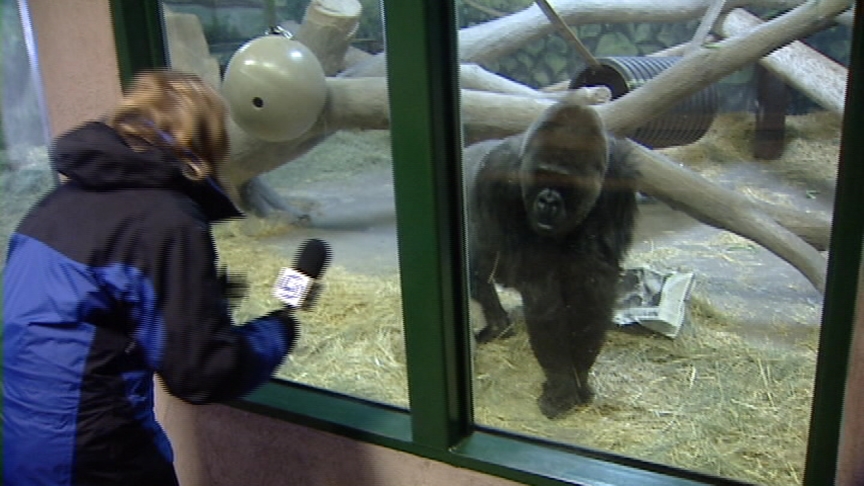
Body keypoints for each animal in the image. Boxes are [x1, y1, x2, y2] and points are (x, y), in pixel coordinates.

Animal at [470, 98, 636, 418]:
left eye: (566, 182)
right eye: (543, 175)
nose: (547, 200)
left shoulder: (619, 179)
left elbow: (593, 285)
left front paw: (578, 376)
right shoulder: (497, 174)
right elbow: (542, 291)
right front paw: (562, 384)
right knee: (481, 266)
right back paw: (496, 322)